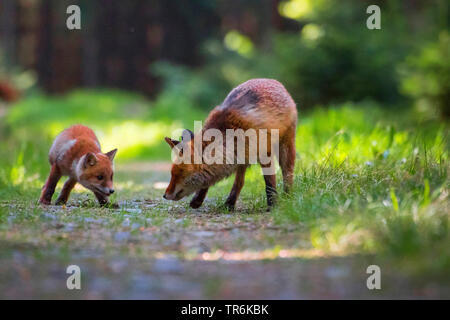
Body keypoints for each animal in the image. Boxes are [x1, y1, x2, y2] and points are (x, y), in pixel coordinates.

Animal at [163, 79, 298, 210]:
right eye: (172, 174)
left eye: (179, 173)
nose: (164, 195)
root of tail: (273, 81)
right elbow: (208, 181)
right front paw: (198, 200)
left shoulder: (265, 153)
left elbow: (269, 183)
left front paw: (272, 205)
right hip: (243, 158)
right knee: (240, 182)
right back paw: (230, 203)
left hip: (286, 146)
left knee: (288, 173)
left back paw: (288, 197)